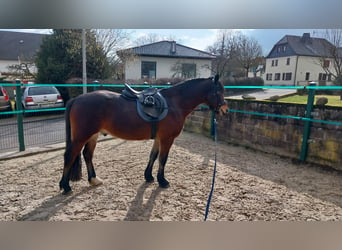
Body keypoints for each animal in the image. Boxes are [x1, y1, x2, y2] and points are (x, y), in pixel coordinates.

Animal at [59, 75, 227, 194]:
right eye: (218, 91)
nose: (225, 110)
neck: (174, 103)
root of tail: (77, 99)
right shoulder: (167, 139)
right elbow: (163, 159)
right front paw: (162, 181)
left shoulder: (158, 138)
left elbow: (153, 156)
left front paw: (149, 176)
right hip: (81, 137)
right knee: (69, 156)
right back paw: (65, 186)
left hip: (92, 136)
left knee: (87, 155)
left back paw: (93, 179)